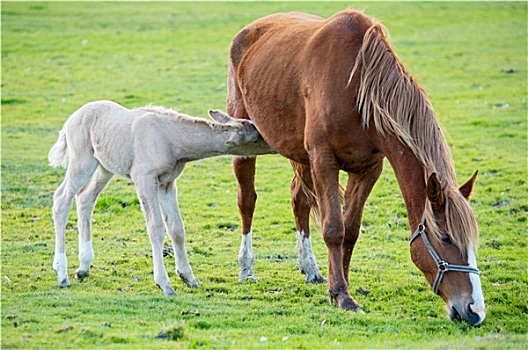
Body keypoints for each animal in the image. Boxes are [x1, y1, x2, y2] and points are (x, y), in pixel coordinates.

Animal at [227, 9, 486, 326]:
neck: (356, 86)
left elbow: (350, 230)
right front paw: (342, 295)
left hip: (299, 152)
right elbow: (334, 229)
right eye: (447, 238)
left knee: (299, 200)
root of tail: (251, 30)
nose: (474, 310)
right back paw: (246, 267)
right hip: (244, 138)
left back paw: (310, 268)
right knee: (247, 201)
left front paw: (340, 284)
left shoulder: (368, 169)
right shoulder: (323, 160)